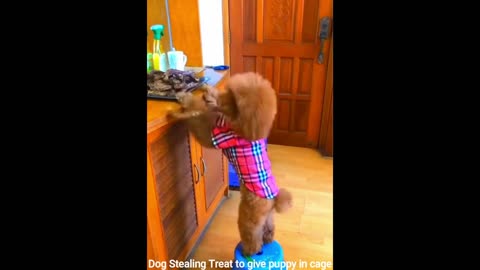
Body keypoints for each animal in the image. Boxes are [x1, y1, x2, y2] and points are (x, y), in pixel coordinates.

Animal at [169, 73, 292, 256]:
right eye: (228, 92)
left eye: (232, 101)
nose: (207, 94)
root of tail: (274, 199)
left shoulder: (212, 135)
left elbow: (197, 116)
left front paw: (183, 103)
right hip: (267, 218)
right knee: (268, 231)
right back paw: (267, 241)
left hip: (248, 219)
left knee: (252, 239)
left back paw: (249, 251)